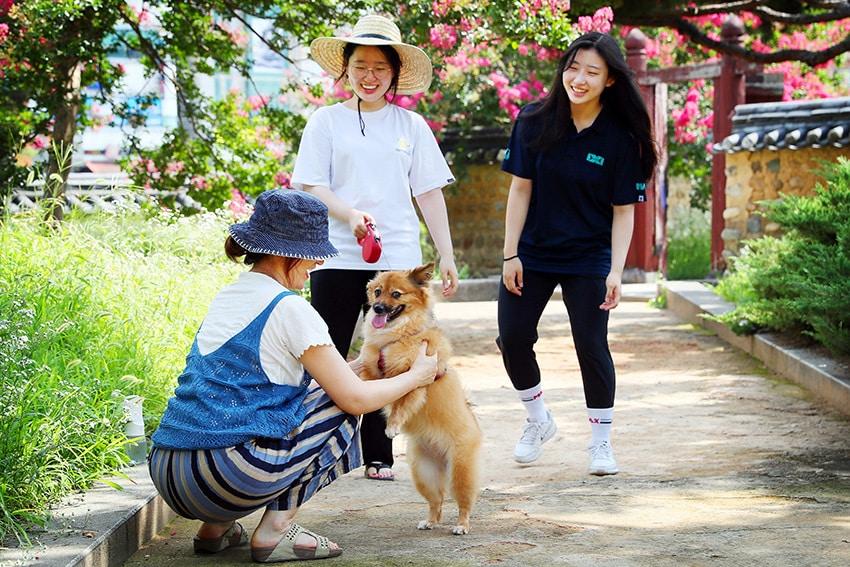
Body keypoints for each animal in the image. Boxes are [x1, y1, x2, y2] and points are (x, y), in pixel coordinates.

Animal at [354, 264, 480, 536]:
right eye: (377, 292)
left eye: (396, 294)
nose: (377, 308)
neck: (398, 335)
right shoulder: (374, 372)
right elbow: (367, 375)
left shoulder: (415, 380)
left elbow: (402, 404)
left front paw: (392, 426)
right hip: (424, 474)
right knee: (437, 501)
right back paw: (430, 521)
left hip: (461, 472)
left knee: (463, 502)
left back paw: (461, 525)